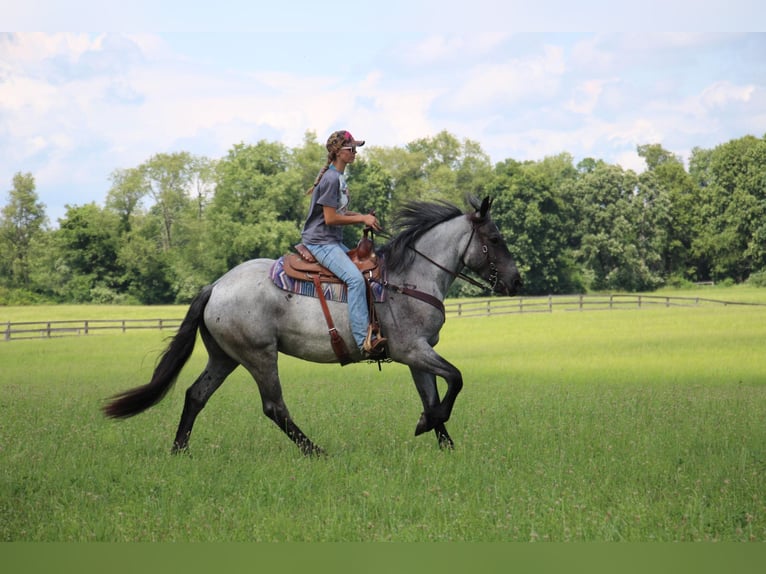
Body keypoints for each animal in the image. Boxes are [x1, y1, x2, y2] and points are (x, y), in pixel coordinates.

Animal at [103, 196, 520, 456]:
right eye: (495, 238)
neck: (410, 277)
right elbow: (456, 379)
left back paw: (180, 450)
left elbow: (434, 397)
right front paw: (425, 426)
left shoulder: (419, 354)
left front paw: (444, 444)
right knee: (274, 407)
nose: (515, 281)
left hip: (225, 357)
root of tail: (215, 287)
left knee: (195, 396)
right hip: (259, 356)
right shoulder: (411, 350)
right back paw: (315, 451)